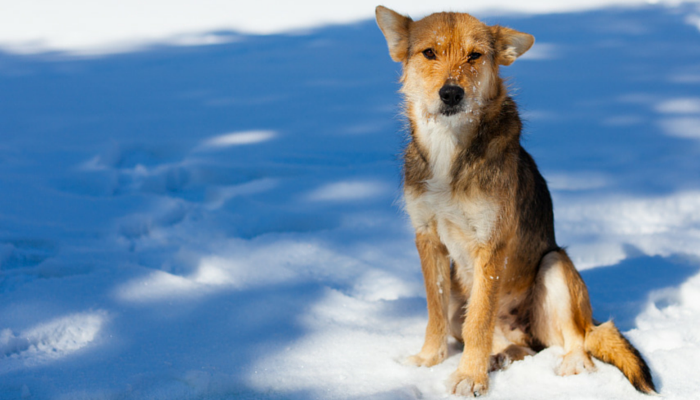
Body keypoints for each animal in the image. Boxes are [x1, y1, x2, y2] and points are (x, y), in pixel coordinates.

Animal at [378, 5, 656, 396]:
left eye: (474, 56)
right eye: (429, 53)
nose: (451, 93)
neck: (450, 150)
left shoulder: (490, 245)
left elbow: (479, 322)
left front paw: (470, 377)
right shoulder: (427, 238)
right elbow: (436, 312)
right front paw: (429, 360)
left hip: (554, 266)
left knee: (580, 338)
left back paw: (569, 364)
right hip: (462, 298)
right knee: (513, 342)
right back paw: (500, 357)